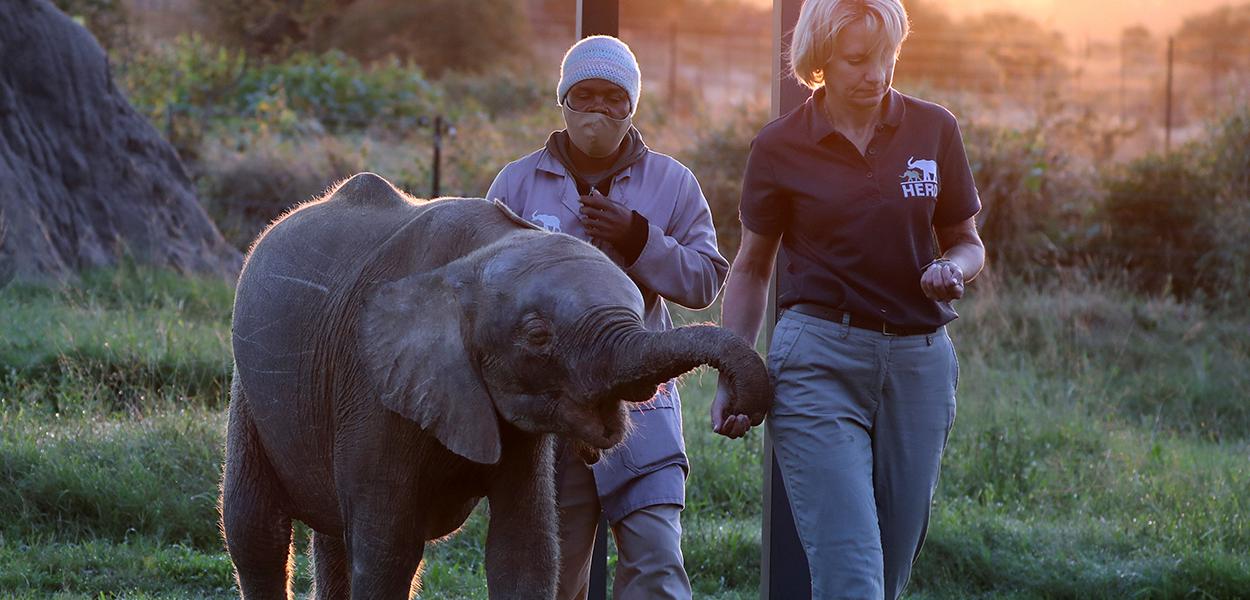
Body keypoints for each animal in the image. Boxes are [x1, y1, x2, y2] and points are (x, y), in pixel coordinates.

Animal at [223, 171, 770, 597]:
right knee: (255, 532)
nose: (735, 413)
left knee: (332, 532)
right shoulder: (372, 380)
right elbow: (387, 551)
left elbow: (525, 549)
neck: (475, 260)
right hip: (248, 388)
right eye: (538, 336)